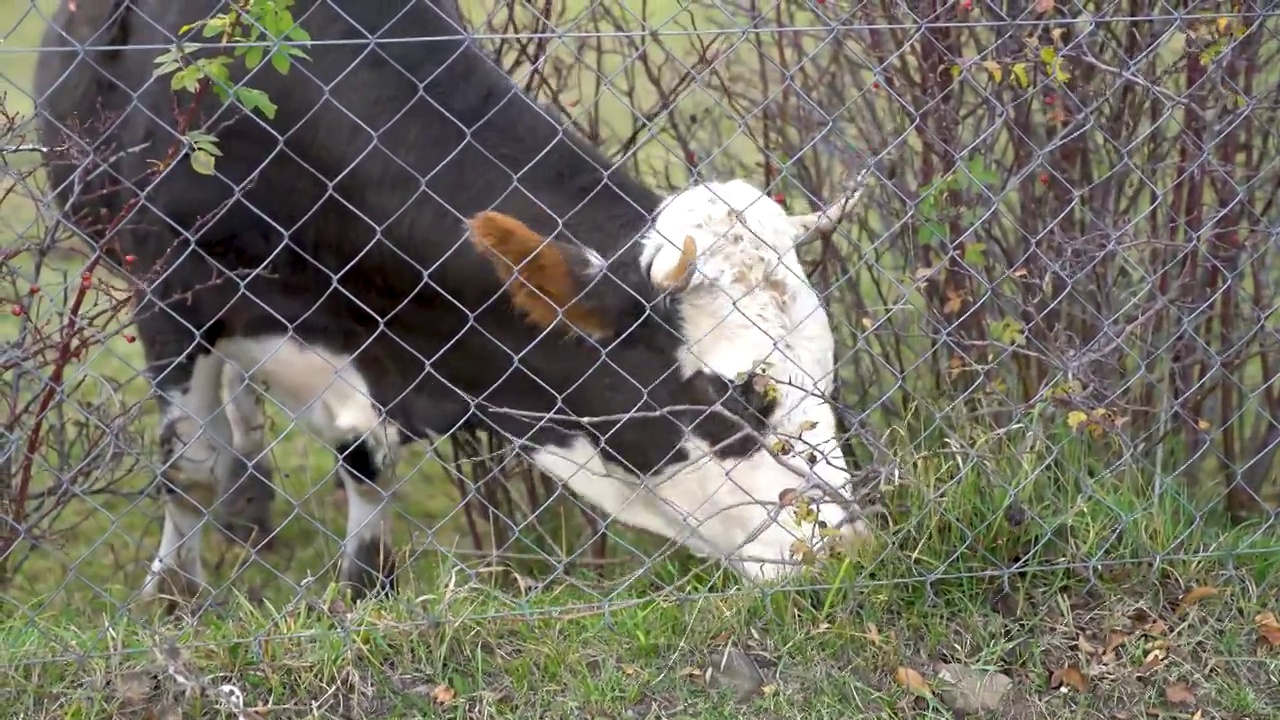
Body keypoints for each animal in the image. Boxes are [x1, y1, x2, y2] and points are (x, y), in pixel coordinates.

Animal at [32, 0, 870, 604]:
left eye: (825, 372)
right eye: (742, 391)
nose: (848, 549)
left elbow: (364, 463)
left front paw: (366, 591)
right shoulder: (167, 287)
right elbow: (189, 472)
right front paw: (173, 604)